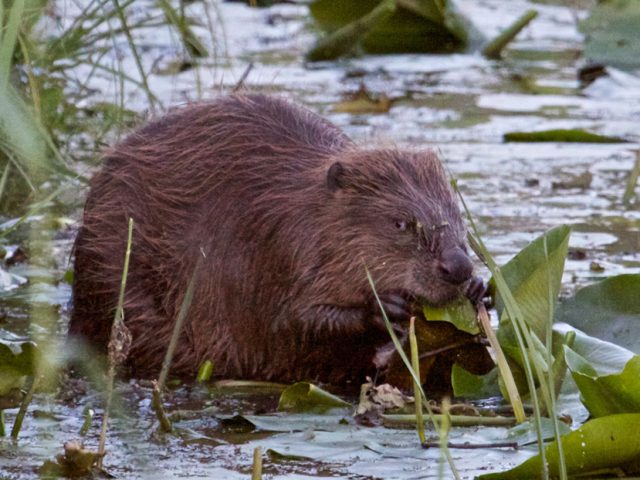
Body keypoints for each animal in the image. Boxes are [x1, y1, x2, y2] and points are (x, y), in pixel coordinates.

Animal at [70, 94, 488, 386]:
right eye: (400, 223)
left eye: (456, 215)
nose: (458, 266)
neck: (305, 208)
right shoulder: (275, 247)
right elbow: (286, 321)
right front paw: (385, 308)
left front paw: (480, 291)